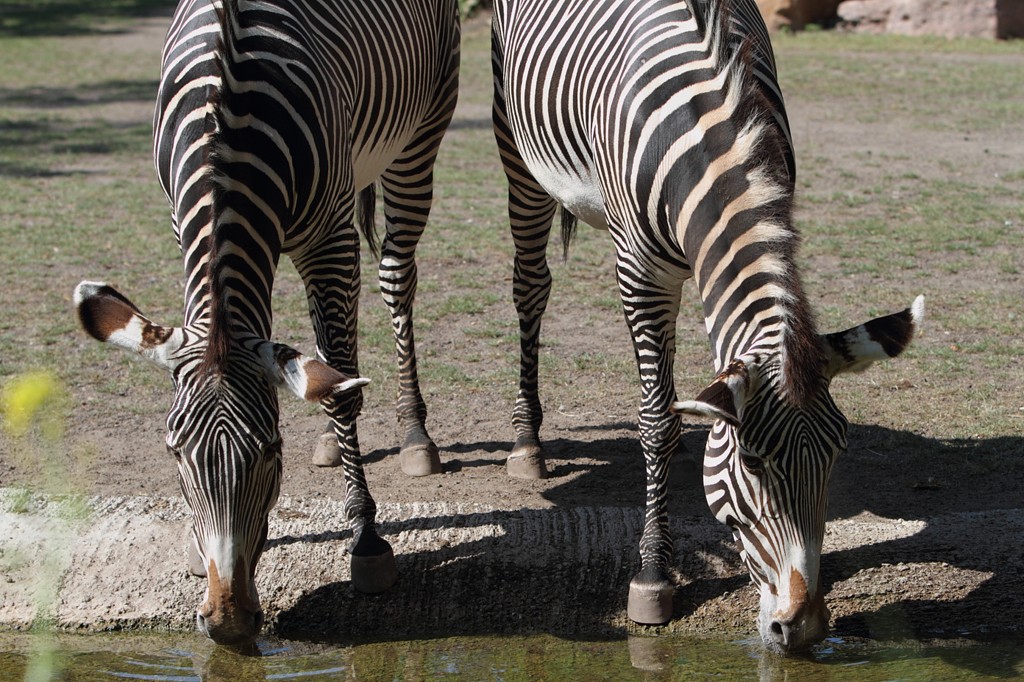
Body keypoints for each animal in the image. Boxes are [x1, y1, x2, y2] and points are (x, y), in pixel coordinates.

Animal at [72, 0, 456, 643]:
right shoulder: (182, 223)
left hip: (419, 138)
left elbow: (343, 390)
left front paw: (367, 540)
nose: (227, 621)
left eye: (273, 452)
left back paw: (415, 434)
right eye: (173, 453)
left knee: (394, 279)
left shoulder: (329, 237)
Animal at [491, 0, 925, 651]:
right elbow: (658, 422)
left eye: (837, 453)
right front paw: (653, 574)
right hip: (514, 145)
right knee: (530, 284)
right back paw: (525, 442)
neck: (704, 137)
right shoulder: (641, 271)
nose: (800, 627)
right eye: (753, 462)